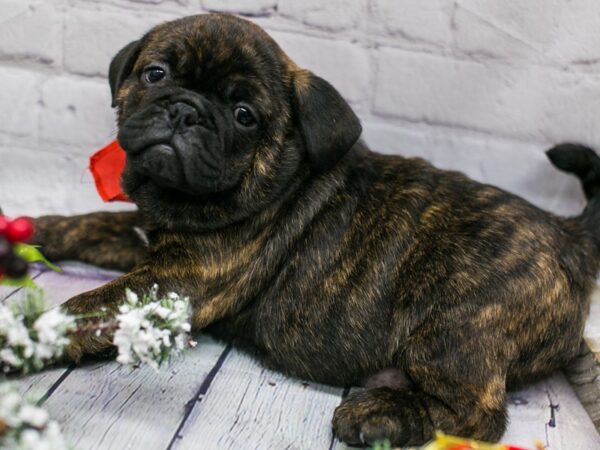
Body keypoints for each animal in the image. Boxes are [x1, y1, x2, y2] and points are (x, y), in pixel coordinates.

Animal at [30, 13, 600, 446]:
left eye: (244, 115)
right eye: (155, 73)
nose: (186, 110)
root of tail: (570, 237)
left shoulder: (176, 276)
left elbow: (89, 307)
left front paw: (29, 339)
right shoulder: (142, 237)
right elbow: (85, 225)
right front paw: (33, 230)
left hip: (454, 325)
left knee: (480, 413)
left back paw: (381, 414)